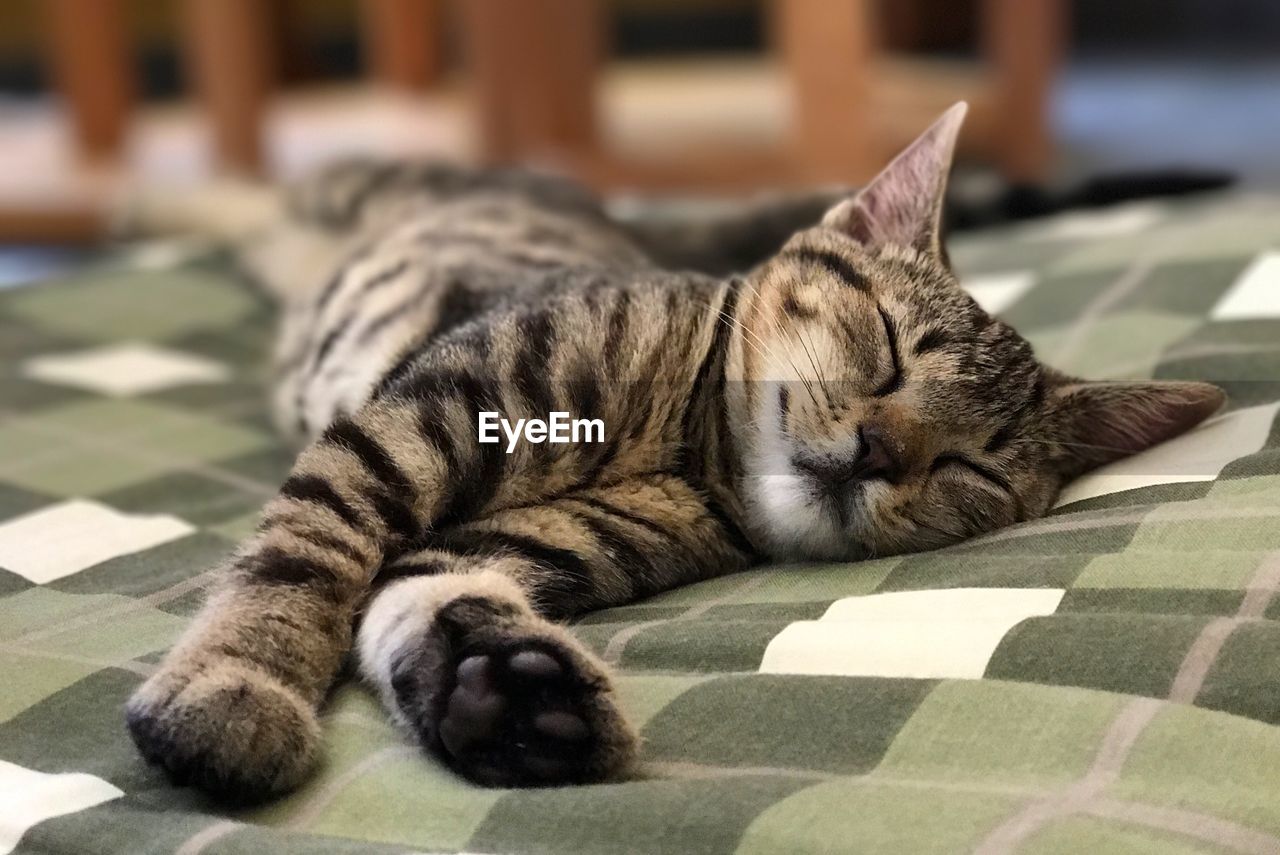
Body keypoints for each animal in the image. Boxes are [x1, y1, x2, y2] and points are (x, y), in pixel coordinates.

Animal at [124, 104, 1223, 803]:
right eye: (888, 346)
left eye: (971, 465)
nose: (877, 450)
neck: (687, 446)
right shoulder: (417, 425)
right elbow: (300, 562)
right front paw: (235, 688)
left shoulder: (532, 536)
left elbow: (423, 592)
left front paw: (506, 695)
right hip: (361, 190)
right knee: (249, 193)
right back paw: (143, 197)